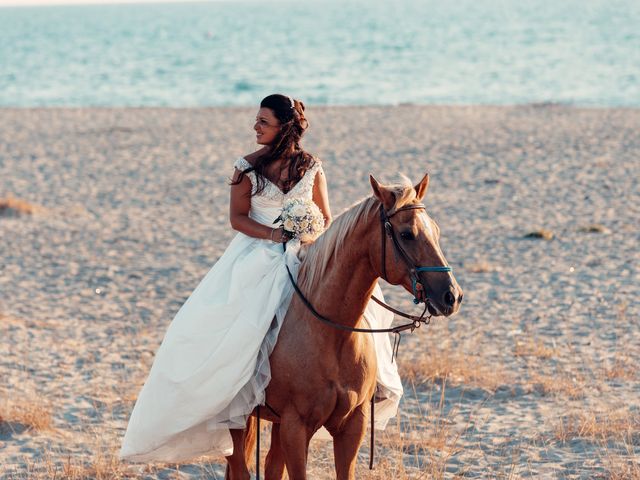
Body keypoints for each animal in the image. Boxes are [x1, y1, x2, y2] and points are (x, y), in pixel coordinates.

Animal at [228, 174, 462, 478]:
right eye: (407, 234)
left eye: (435, 231)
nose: (452, 296)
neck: (331, 335)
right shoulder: (295, 427)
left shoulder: (353, 425)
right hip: (235, 420)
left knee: (271, 465)